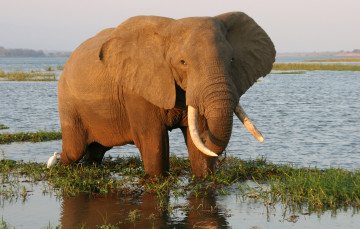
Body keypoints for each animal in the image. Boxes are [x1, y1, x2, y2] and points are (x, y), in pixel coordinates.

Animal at [57, 11, 276, 177]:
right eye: (183, 62)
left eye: (232, 59)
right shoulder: (137, 88)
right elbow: (153, 140)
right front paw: (157, 180)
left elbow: (197, 141)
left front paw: (204, 178)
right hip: (67, 101)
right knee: (74, 150)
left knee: (96, 150)